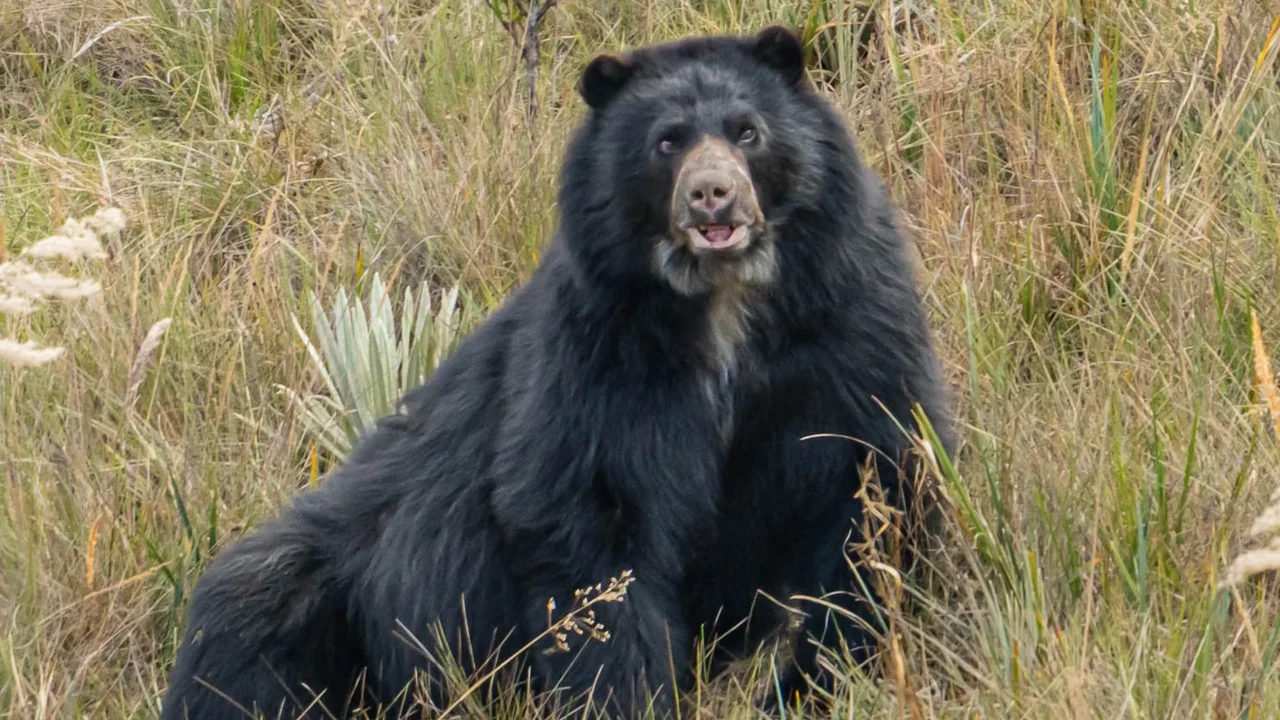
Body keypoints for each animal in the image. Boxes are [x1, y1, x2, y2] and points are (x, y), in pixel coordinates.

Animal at [159, 25, 955, 720]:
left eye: (747, 131)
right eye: (667, 141)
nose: (712, 196)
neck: (725, 306)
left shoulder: (849, 325)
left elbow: (876, 491)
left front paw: (822, 680)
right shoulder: (597, 356)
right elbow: (592, 530)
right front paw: (630, 696)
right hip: (310, 598)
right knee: (245, 643)